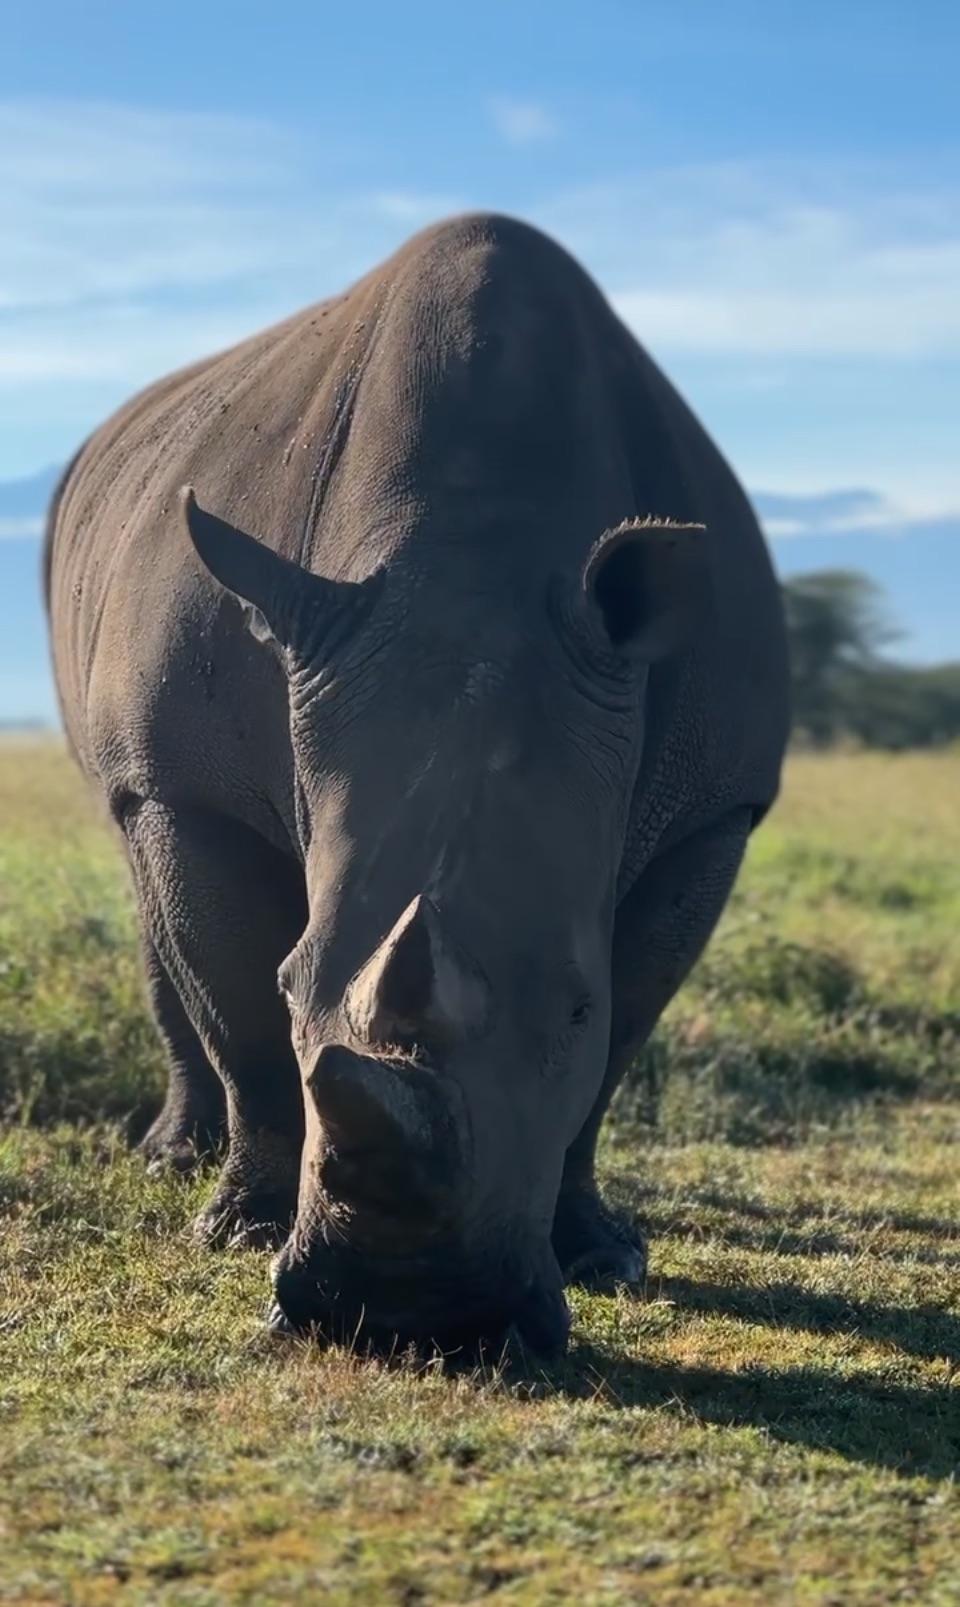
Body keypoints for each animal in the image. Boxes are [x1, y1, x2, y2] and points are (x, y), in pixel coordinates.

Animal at [45, 213, 789, 1354]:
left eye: (572, 1007)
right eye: (296, 985)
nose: (408, 1316)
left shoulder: (712, 809)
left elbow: (625, 1033)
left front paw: (601, 1253)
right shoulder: (186, 776)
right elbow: (238, 1011)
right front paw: (239, 1225)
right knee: (142, 873)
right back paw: (173, 1160)